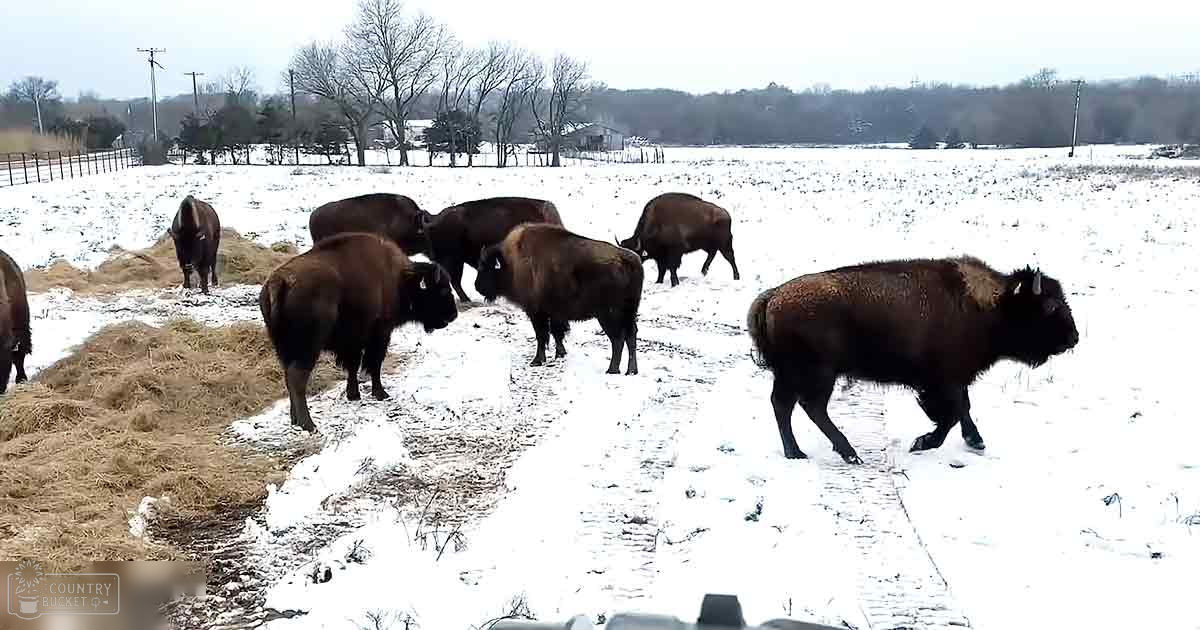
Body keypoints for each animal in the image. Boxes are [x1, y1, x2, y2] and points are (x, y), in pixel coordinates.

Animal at [259, 233, 458, 432]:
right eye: (442, 289)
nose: (453, 314)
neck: (400, 278)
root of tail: (279, 281)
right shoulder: (380, 333)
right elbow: (374, 364)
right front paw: (381, 393)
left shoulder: (353, 341)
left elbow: (353, 366)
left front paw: (353, 394)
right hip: (308, 348)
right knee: (297, 378)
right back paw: (309, 424)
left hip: (284, 348)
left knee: (288, 377)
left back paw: (295, 420)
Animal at [476, 223, 643, 375]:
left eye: (486, 267)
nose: (477, 286)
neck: (512, 263)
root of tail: (628, 260)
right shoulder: (555, 313)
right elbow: (557, 333)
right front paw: (560, 354)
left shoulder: (537, 313)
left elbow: (542, 336)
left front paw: (537, 360)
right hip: (629, 312)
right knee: (631, 336)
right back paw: (631, 371)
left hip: (608, 315)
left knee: (618, 339)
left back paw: (612, 370)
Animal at [747, 257, 1079, 463]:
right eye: (1050, 307)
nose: (1074, 337)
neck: (992, 305)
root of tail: (772, 297)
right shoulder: (943, 382)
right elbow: (951, 414)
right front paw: (927, 442)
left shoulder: (954, 380)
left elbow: (961, 409)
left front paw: (974, 441)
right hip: (818, 374)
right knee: (809, 407)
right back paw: (847, 454)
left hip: (792, 375)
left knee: (784, 405)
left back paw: (798, 453)